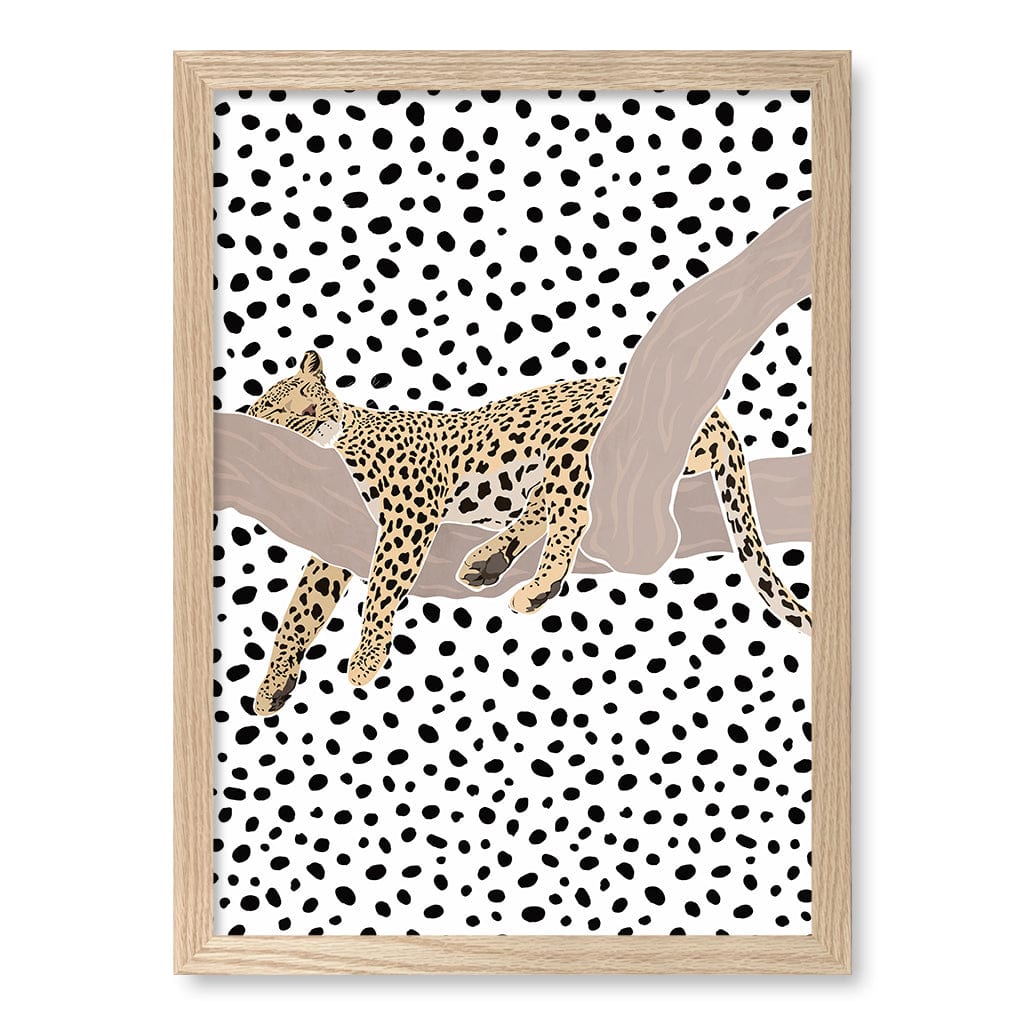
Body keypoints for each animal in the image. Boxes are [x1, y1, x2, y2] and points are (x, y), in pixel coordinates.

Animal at [243, 350, 812, 715]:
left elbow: (382, 586)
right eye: (280, 410)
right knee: (550, 506)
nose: (312, 413)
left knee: (573, 511)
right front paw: (274, 685)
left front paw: (365, 658)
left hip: (572, 442)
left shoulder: (411, 510)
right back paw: (490, 560)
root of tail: (711, 410)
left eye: (309, 394)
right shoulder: (334, 539)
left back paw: (534, 584)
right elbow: (301, 609)